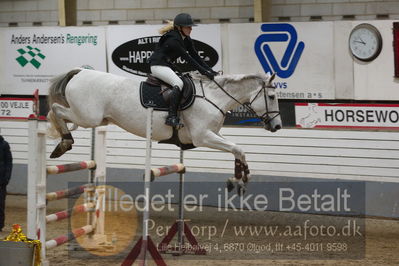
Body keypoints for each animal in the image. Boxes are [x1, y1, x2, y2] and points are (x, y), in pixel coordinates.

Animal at [48, 68, 282, 193]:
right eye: (271, 97)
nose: (277, 126)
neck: (214, 98)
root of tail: (80, 72)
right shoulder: (202, 137)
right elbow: (237, 148)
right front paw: (239, 180)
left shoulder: (213, 134)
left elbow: (237, 149)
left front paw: (239, 180)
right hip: (88, 117)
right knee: (56, 110)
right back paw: (64, 143)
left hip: (91, 117)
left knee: (59, 112)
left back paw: (63, 142)